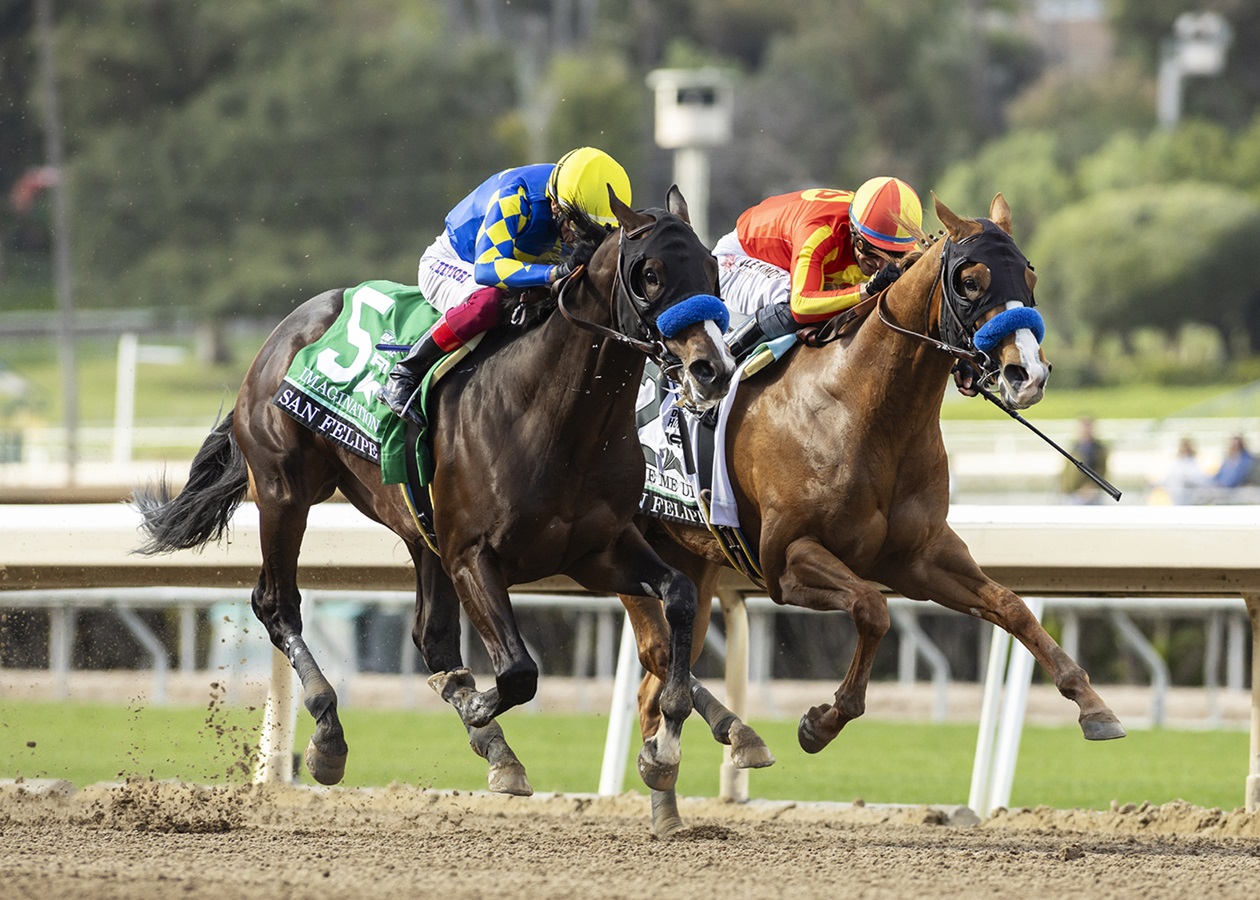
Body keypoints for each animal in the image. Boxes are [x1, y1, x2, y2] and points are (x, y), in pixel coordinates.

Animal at [135, 184, 735, 791]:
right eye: (650, 273)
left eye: (712, 270)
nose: (712, 369)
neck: (555, 417)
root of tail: (283, 331)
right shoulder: (472, 554)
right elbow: (519, 672)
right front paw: (472, 703)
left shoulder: (597, 550)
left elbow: (680, 596)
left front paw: (668, 743)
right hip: (285, 493)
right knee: (277, 605)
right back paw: (329, 733)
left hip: (419, 532)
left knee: (432, 636)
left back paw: (497, 750)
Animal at [617, 194, 1123, 831]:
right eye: (971, 280)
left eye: (1028, 278)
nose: (1026, 373)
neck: (863, 409)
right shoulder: (787, 562)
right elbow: (872, 609)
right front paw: (820, 722)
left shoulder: (921, 557)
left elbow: (1012, 607)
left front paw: (1093, 705)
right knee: (660, 654)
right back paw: (721, 744)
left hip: (695, 561)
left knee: (655, 679)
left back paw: (669, 796)